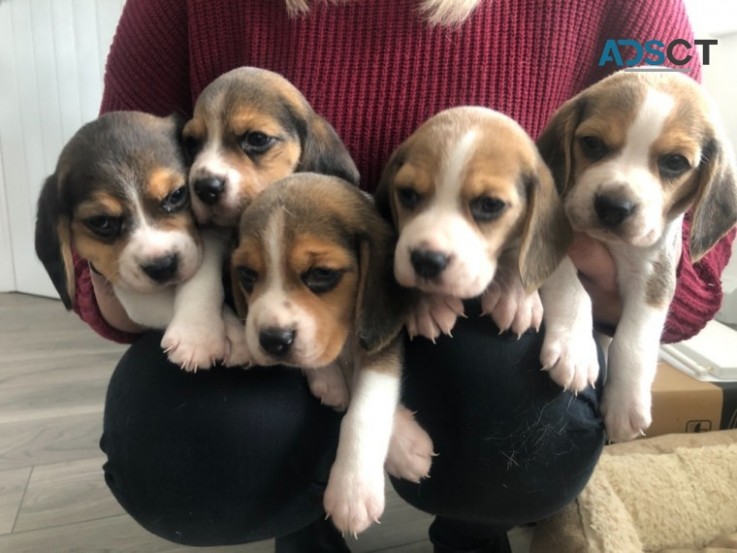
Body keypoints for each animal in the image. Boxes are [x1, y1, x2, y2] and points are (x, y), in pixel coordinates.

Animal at [36, 111, 247, 370]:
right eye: (102, 222)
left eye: (176, 195)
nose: (163, 266)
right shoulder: (119, 279)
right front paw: (213, 335)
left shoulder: (211, 235)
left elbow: (202, 275)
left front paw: (201, 333)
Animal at [231, 174, 432, 536]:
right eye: (247, 275)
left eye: (322, 274)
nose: (273, 341)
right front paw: (331, 382)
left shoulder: (377, 338)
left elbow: (366, 407)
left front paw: (353, 489)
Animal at [536, 70, 736, 440]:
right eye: (592, 143)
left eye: (675, 162)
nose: (613, 207)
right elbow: (572, 290)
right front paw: (575, 349)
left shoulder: (655, 272)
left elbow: (635, 336)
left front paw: (625, 401)